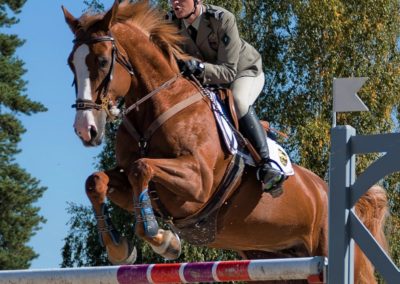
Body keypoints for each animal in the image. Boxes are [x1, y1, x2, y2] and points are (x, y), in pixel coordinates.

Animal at [62, 1, 388, 282]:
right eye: (70, 64)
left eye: (102, 60)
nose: (85, 130)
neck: (156, 106)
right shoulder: (133, 186)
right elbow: (97, 181)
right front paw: (120, 248)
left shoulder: (198, 182)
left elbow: (141, 167)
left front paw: (162, 238)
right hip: (278, 263)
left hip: (345, 261)